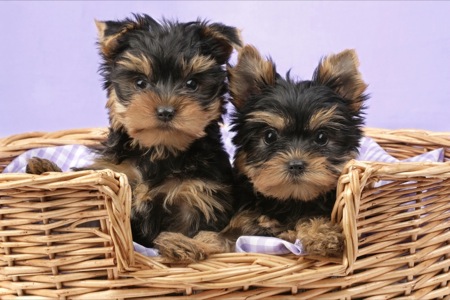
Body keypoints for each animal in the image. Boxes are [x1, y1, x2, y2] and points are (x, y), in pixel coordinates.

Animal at [25, 14, 243, 260]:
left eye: (192, 84)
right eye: (140, 82)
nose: (166, 111)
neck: (159, 151)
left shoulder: (198, 195)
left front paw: (181, 245)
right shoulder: (115, 172)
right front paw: (45, 170)